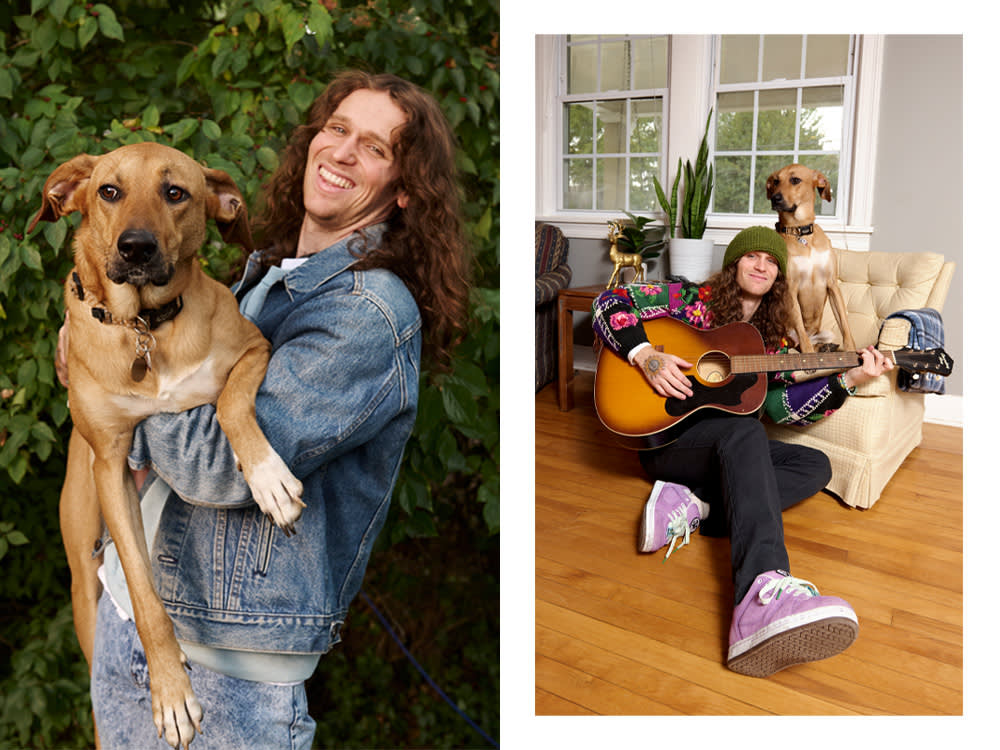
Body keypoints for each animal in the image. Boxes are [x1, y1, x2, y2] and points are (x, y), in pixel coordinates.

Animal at [31, 142, 304, 750]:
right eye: (109, 190)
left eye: (175, 192)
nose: (136, 247)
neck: (146, 326)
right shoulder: (111, 462)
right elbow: (142, 589)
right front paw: (171, 692)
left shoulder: (254, 350)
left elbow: (230, 404)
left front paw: (269, 480)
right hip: (82, 584)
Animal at [760, 164, 856, 352]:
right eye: (775, 181)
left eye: (795, 180)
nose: (775, 199)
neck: (800, 232)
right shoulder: (790, 288)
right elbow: (799, 325)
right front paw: (808, 353)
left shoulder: (832, 284)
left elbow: (845, 323)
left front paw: (850, 348)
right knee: (797, 342)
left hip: (824, 332)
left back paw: (826, 347)